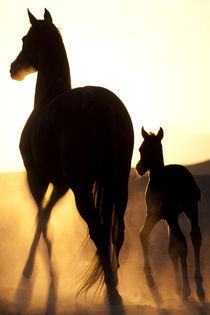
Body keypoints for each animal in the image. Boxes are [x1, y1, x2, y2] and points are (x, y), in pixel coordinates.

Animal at [9, 9, 134, 306]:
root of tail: (101, 106)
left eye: (25, 39)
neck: (47, 99)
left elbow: (41, 217)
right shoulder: (61, 185)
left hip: (82, 188)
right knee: (117, 230)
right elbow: (44, 216)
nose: (13, 68)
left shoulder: (38, 180)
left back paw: (112, 290)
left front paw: (34, 273)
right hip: (118, 180)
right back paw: (115, 280)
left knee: (97, 229)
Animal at [135, 128, 204, 302]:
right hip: (192, 209)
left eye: (141, 149)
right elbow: (170, 249)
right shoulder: (170, 218)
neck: (158, 177)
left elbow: (143, 234)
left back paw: (187, 288)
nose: (139, 168)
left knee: (183, 242)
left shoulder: (155, 215)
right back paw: (199, 286)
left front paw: (150, 279)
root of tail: (187, 181)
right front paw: (176, 287)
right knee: (195, 236)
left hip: (174, 216)